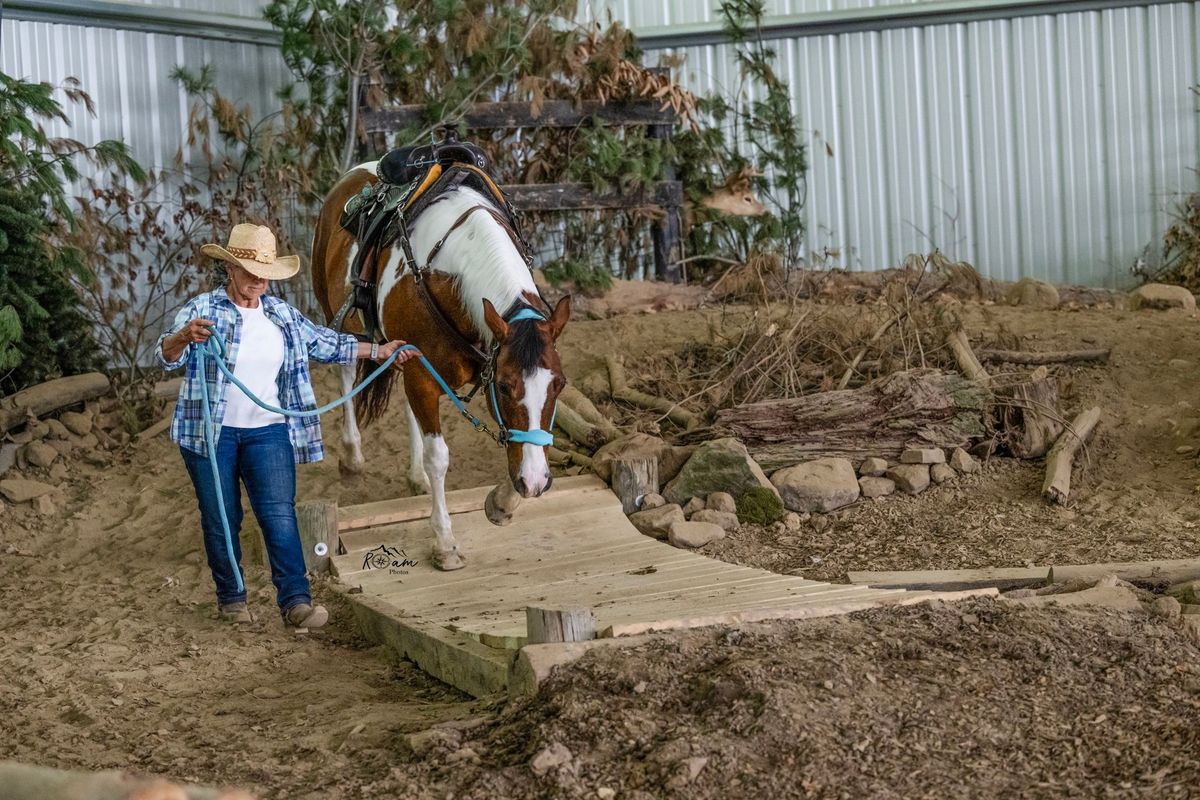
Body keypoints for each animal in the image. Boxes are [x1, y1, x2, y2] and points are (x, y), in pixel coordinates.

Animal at [309, 163, 571, 573]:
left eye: (559, 385)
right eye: (506, 386)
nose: (535, 481)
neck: (451, 275)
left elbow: (515, 442)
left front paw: (503, 501)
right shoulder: (424, 374)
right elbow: (440, 458)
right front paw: (445, 543)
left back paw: (414, 474)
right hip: (338, 315)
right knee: (346, 372)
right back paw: (352, 457)